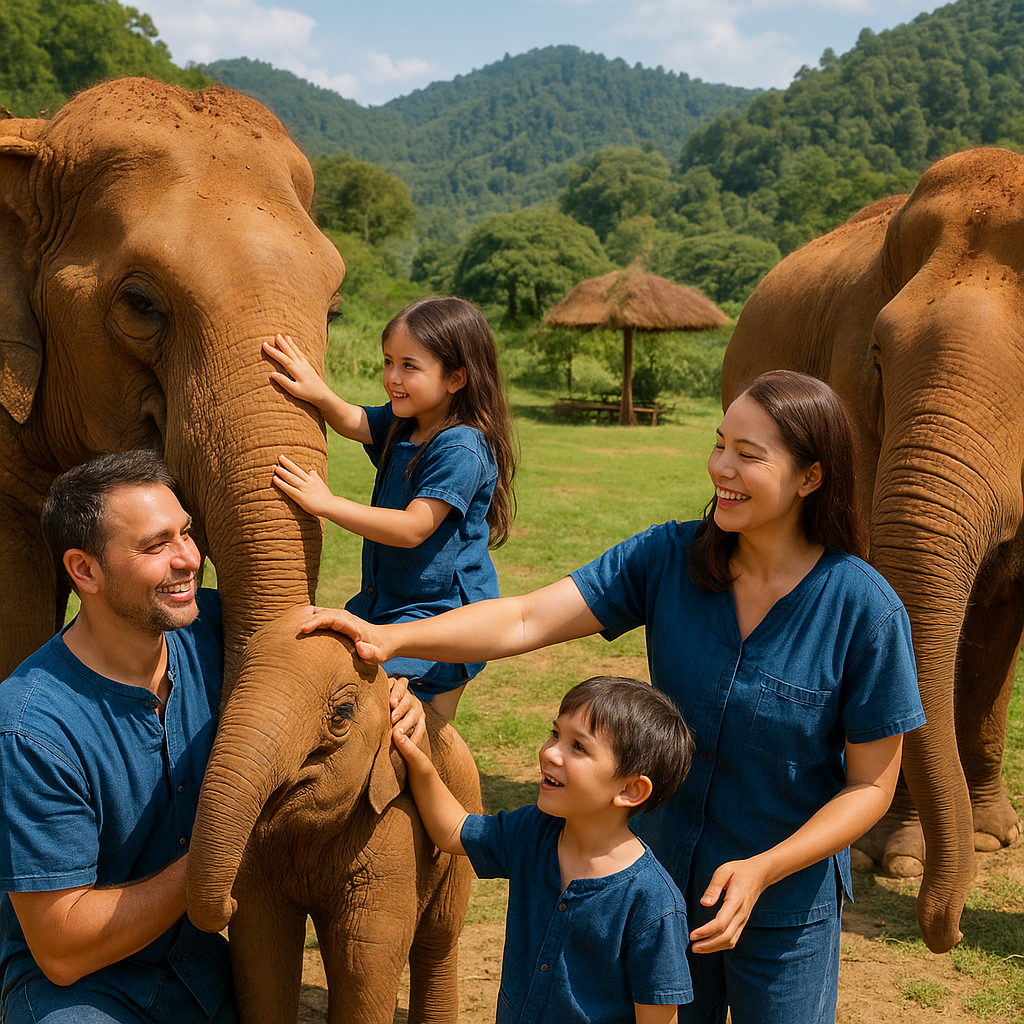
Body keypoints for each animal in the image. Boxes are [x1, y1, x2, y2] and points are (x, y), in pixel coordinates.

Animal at [186, 605, 481, 1024]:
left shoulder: (397, 825)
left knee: (437, 941)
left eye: (341, 712)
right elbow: (261, 948)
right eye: (224, 699)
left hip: (465, 818)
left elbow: (362, 957)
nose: (229, 902)